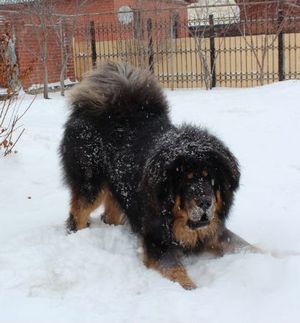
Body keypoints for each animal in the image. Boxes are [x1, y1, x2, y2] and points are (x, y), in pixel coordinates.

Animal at [59, 62, 252, 290]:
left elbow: (247, 246)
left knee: (111, 214)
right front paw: (193, 290)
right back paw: (78, 234)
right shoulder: (157, 241)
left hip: (122, 187)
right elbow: (178, 273)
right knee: (77, 214)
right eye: (186, 180)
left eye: (209, 178)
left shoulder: (215, 231)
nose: (205, 202)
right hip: (90, 184)